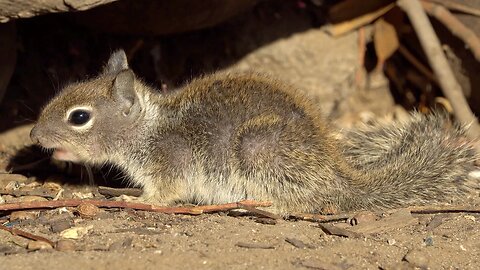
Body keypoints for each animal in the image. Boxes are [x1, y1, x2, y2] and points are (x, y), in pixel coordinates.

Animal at [30, 50, 476, 215]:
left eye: (79, 117)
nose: (34, 135)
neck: (148, 129)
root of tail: (339, 179)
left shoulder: (169, 167)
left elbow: (162, 196)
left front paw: (130, 198)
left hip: (257, 152)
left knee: (295, 204)